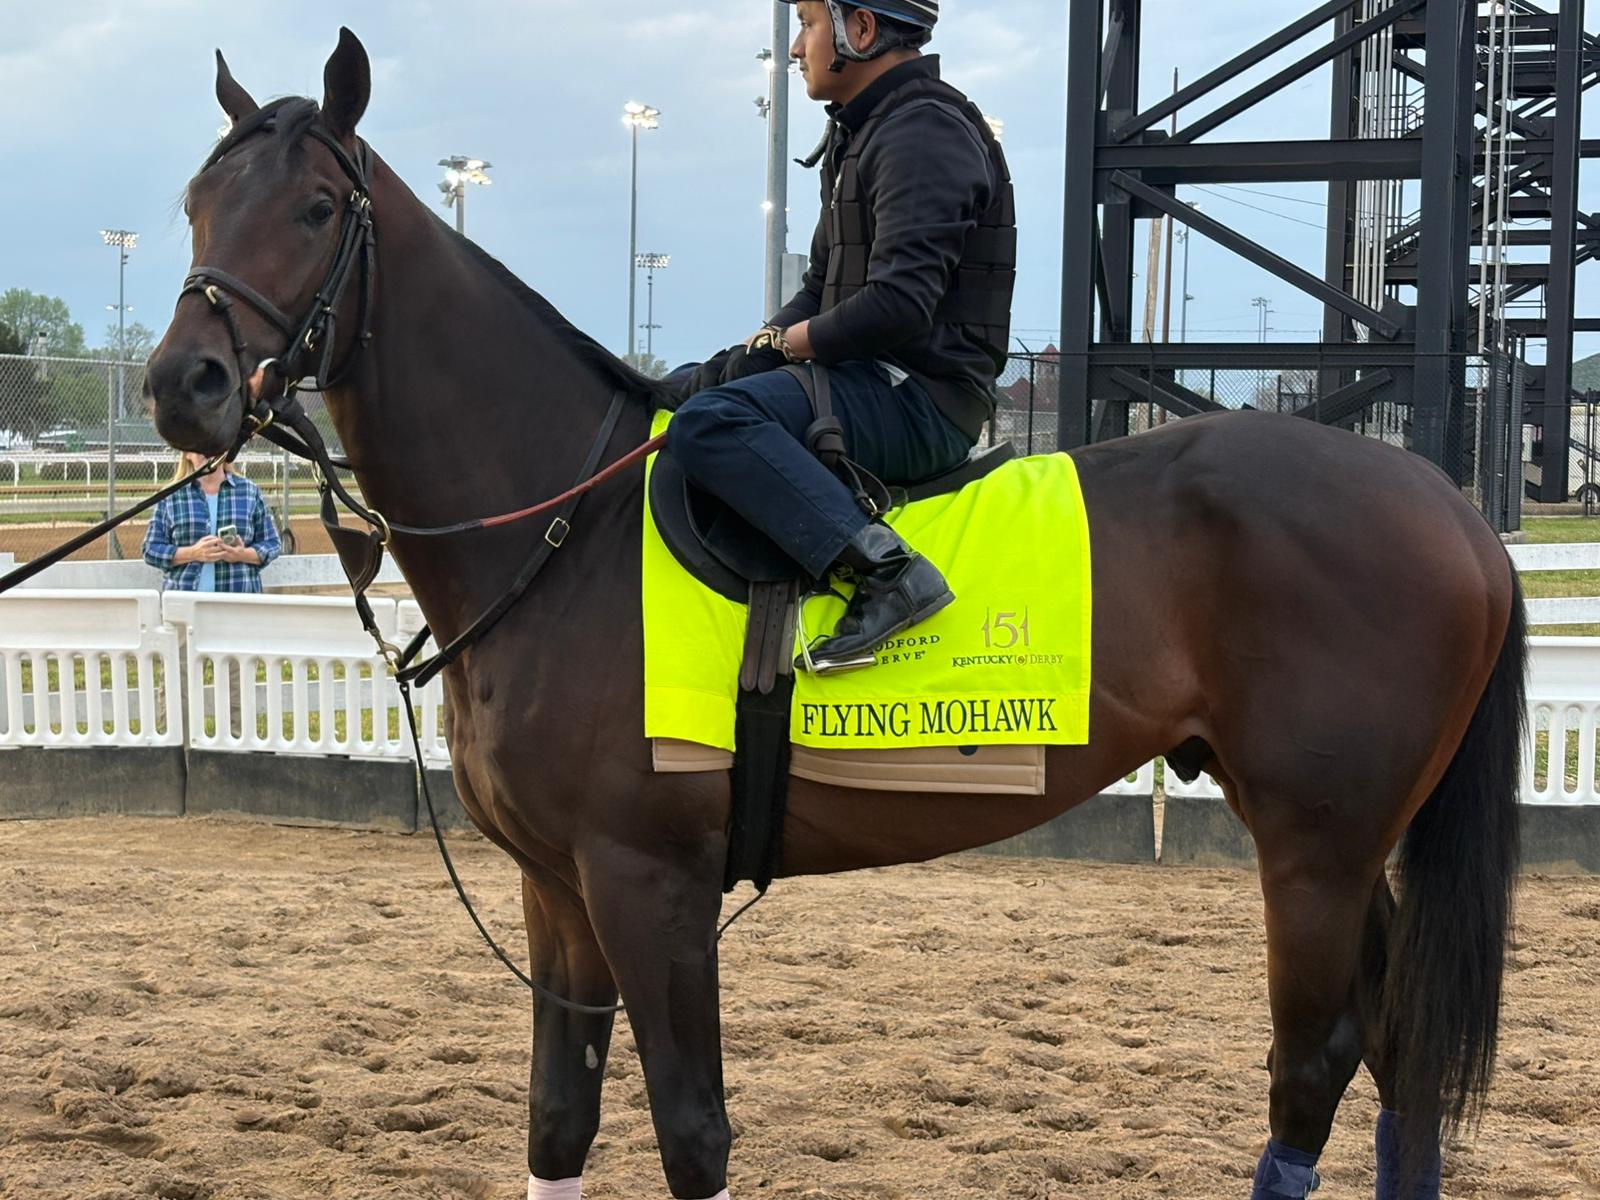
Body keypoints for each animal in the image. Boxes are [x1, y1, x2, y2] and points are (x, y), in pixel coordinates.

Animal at [144, 29, 1523, 1200]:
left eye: (317, 209)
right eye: (198, 204)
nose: (181, 386)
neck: (561, 527)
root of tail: (1447, 507)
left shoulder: (649, 884)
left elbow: (692, 1134)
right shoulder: (557, 889)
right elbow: (558, 1120)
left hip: (1313, 848)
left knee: (1315, 1062)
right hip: (1333, 839)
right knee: (1396, 1049)